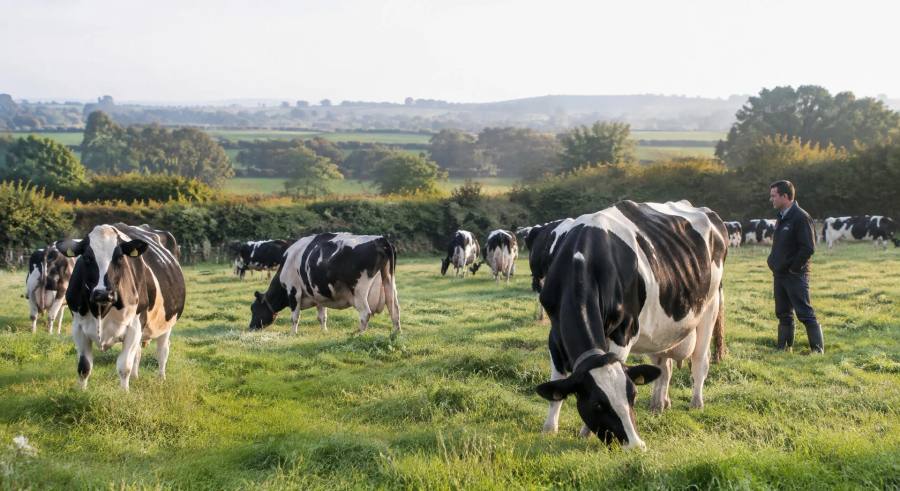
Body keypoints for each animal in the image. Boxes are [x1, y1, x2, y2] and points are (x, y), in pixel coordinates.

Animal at [56, 223, 185, 391]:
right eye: (87, 257)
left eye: (119, 257)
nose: (103, 293)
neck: (101, 310)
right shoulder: (78, 327)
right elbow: (84, 366)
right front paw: (82, 391)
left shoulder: (134, 325)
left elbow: (124, 366)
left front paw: (124, 393)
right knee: (138, 352)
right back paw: (136, 377)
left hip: (167, 322)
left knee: (162, 351)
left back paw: (161, 378)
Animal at [248, 233, 400, 337]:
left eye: (254, 309)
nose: (250, 327)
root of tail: (380, 239)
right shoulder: (319, 294)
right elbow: (322, 316)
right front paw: (324, 331)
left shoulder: (294, 291)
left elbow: (294, 317)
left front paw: (293, 334)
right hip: (389, 282)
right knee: (394, 309)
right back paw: (396, 333)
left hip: (359, 291)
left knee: (365, 313)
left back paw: (359, 334)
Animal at [534, 200, 727, 450]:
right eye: (597, 404)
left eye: (633, 395)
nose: (636, 445)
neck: (584, 259)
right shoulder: (555, 334)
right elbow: (557, 381)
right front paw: (549, 428)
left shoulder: (623, 332)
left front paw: (585, 432)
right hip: (662, 329)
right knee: (664, 367)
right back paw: (659, 404)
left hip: (709, 308)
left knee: (700, 362)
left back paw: (696, 402)